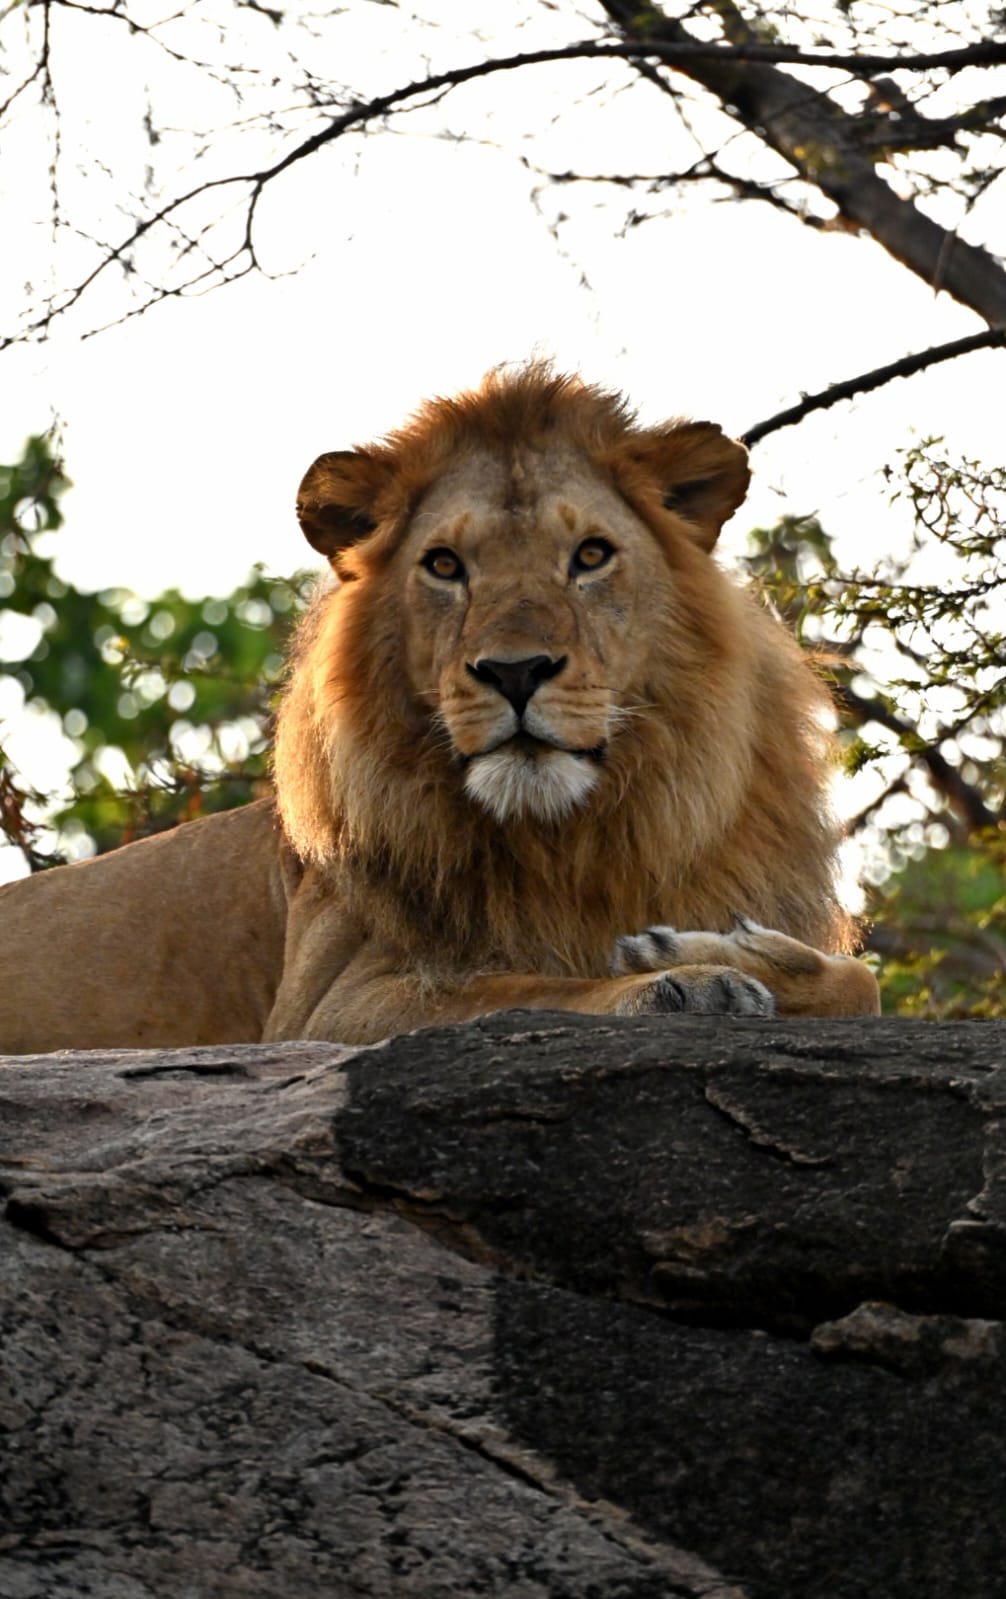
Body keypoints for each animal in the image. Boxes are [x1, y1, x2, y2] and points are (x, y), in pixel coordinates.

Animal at [0, 365, 878, 1054]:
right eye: (446, 565)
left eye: (591, 555)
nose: (516, 671)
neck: (575, 843)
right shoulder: (323, 1010)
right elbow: (523, 987)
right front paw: (689, 976)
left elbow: (862, 984)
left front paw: (735, 955)